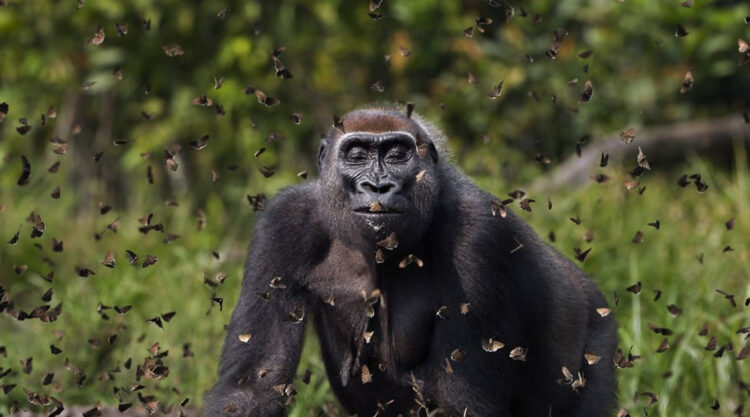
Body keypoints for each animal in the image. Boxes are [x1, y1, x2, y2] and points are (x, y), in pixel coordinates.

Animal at [206, 106, 616, 416]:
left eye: (396, 153)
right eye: (356, 154)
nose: (377, 186)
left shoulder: (478, 232)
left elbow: (463, 401)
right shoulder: (283, 222)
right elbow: (252, 387)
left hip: (599, 334)